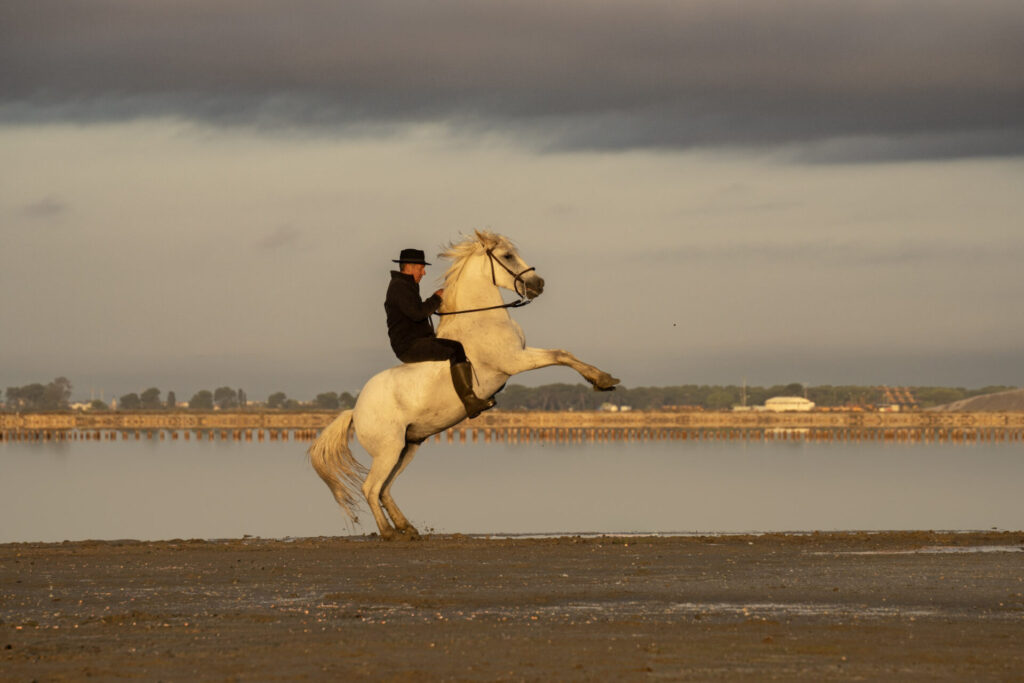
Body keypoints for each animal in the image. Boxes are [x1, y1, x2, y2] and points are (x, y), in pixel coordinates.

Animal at [309, 230, 620, 539]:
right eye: (507, 256)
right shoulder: (515, 361)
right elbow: (559, 355)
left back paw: (407, 528)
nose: (537, 284)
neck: (481, 318)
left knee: (384, 489)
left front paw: (604, 380)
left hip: (407, 448)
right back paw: (389, 532)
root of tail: (355, 410)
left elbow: (564, 353)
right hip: (388, 449)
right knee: (371, 488)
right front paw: (603, 380)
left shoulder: (520, 355)